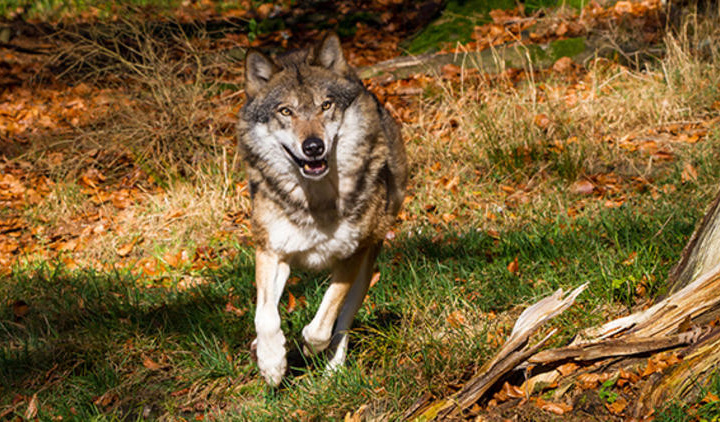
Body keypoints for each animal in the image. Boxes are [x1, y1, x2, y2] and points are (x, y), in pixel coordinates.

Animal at [236, 33, 404, 386]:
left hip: (368, 266)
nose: (313, 147)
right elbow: (265, 316)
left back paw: (333, 370)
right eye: (286, 111)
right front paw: (272, 363)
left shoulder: (352, 255)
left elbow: (323, 323)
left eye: (325, 105)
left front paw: (307, 346)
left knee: (344, 321)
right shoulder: (271, 251)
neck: (316, 202)